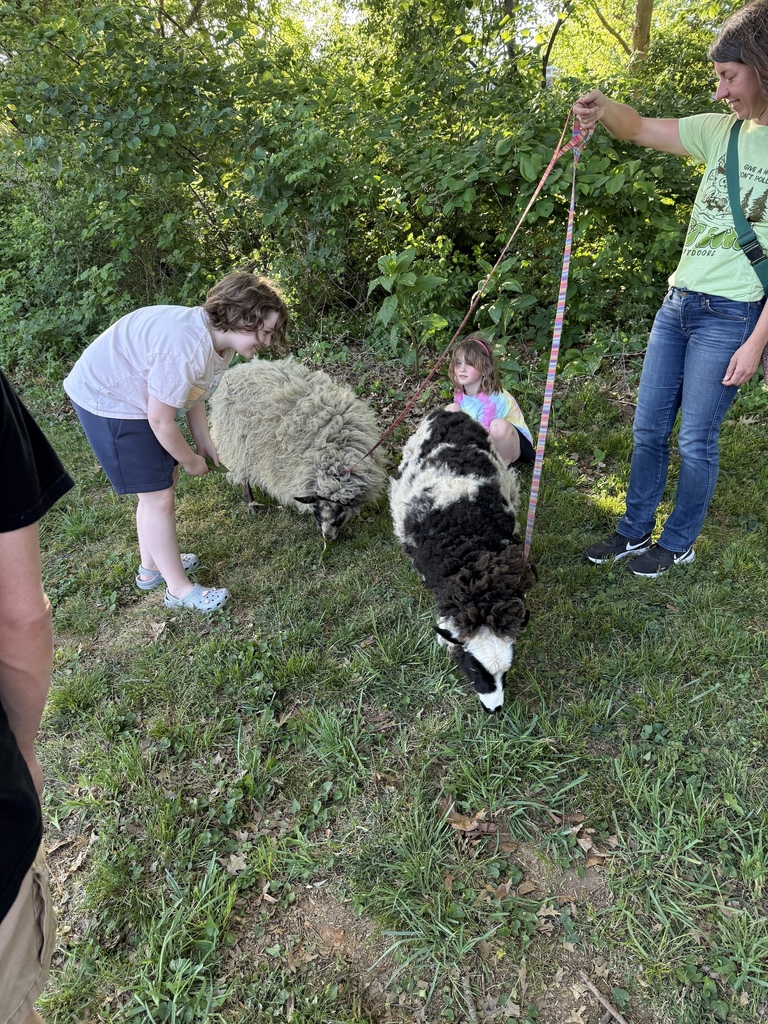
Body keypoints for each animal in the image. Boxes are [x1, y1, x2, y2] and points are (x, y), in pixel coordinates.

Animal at [208, 357, 388, 541]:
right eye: (317, 515)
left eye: (339, 519)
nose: (328, 539)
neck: (334, 456)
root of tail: (235, 370)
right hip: (236, 444)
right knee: (243, 475)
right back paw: (252, 506)